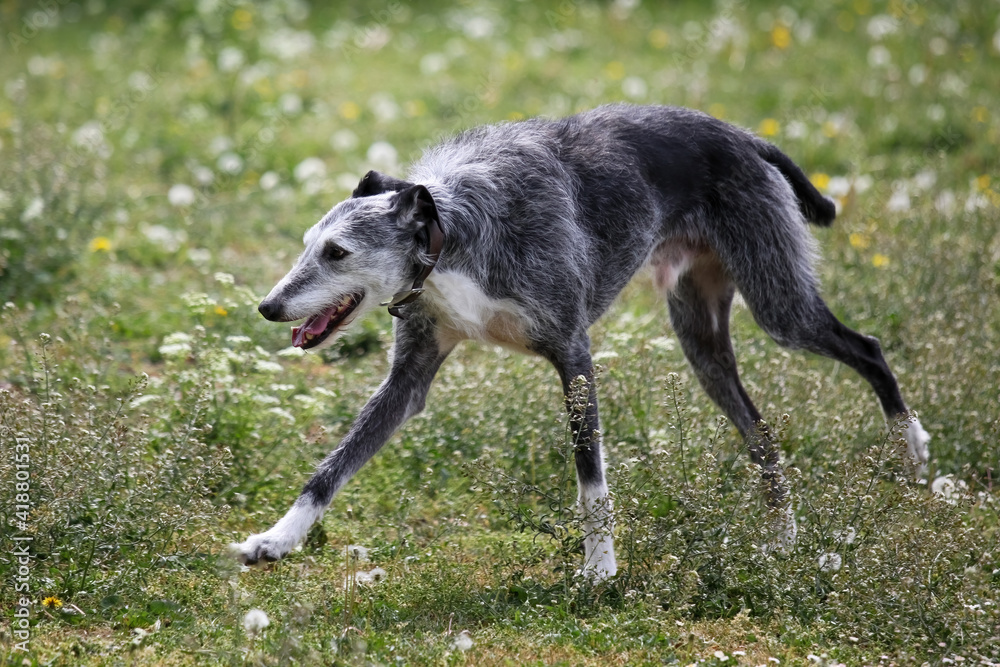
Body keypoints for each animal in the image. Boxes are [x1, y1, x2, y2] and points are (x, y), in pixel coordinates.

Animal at [232, 104, 928, 580]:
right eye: (307, 244)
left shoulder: (574, 357)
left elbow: (590, 476)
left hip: (781, 308)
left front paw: (600, 568)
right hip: (703, 344)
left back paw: (913, 454)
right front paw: (278, 538)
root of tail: (742, 136)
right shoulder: (409, 380)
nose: (268, 307)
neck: (452, 230)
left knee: (870, 350)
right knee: (761, 432)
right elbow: (331, 468)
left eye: (337, 252)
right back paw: (784, 541)